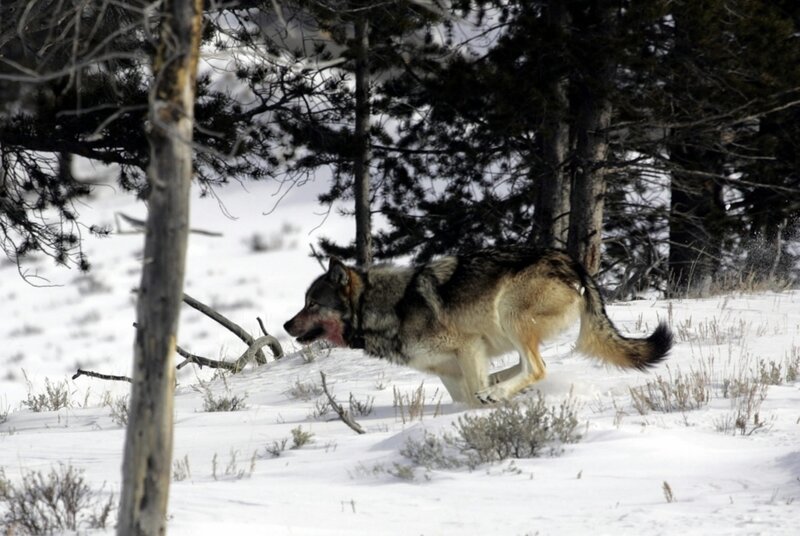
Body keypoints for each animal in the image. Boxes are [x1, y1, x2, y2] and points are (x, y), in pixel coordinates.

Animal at [284, 247, 672, 407]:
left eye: (312, 304)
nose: (286, 324)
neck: (385, 307)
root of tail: (573, 263)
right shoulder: (448, 370)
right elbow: (463, 398)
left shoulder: (468, 346)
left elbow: (472, 397)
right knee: (528, 365)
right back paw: (499, 386)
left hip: (508, 313)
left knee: (538, 367)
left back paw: (497, 392)